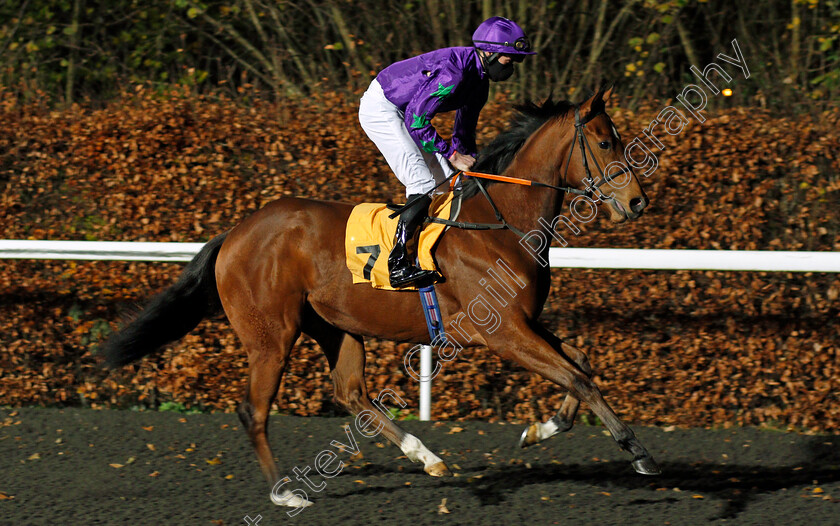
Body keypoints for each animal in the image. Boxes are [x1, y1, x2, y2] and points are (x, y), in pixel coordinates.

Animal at [101, 87, 660, 512]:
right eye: (606, 141)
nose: (637, 202)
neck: (501, 224)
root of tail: (236, 232)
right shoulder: (503, 332)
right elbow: (578, 377)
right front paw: (638, 452)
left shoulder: (525, 323)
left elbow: (581, 363)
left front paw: (542, 430)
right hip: (271, 337)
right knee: (253, 410)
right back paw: (285, 492)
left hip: (337, 326)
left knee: (353, 396)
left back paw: (426, 456)